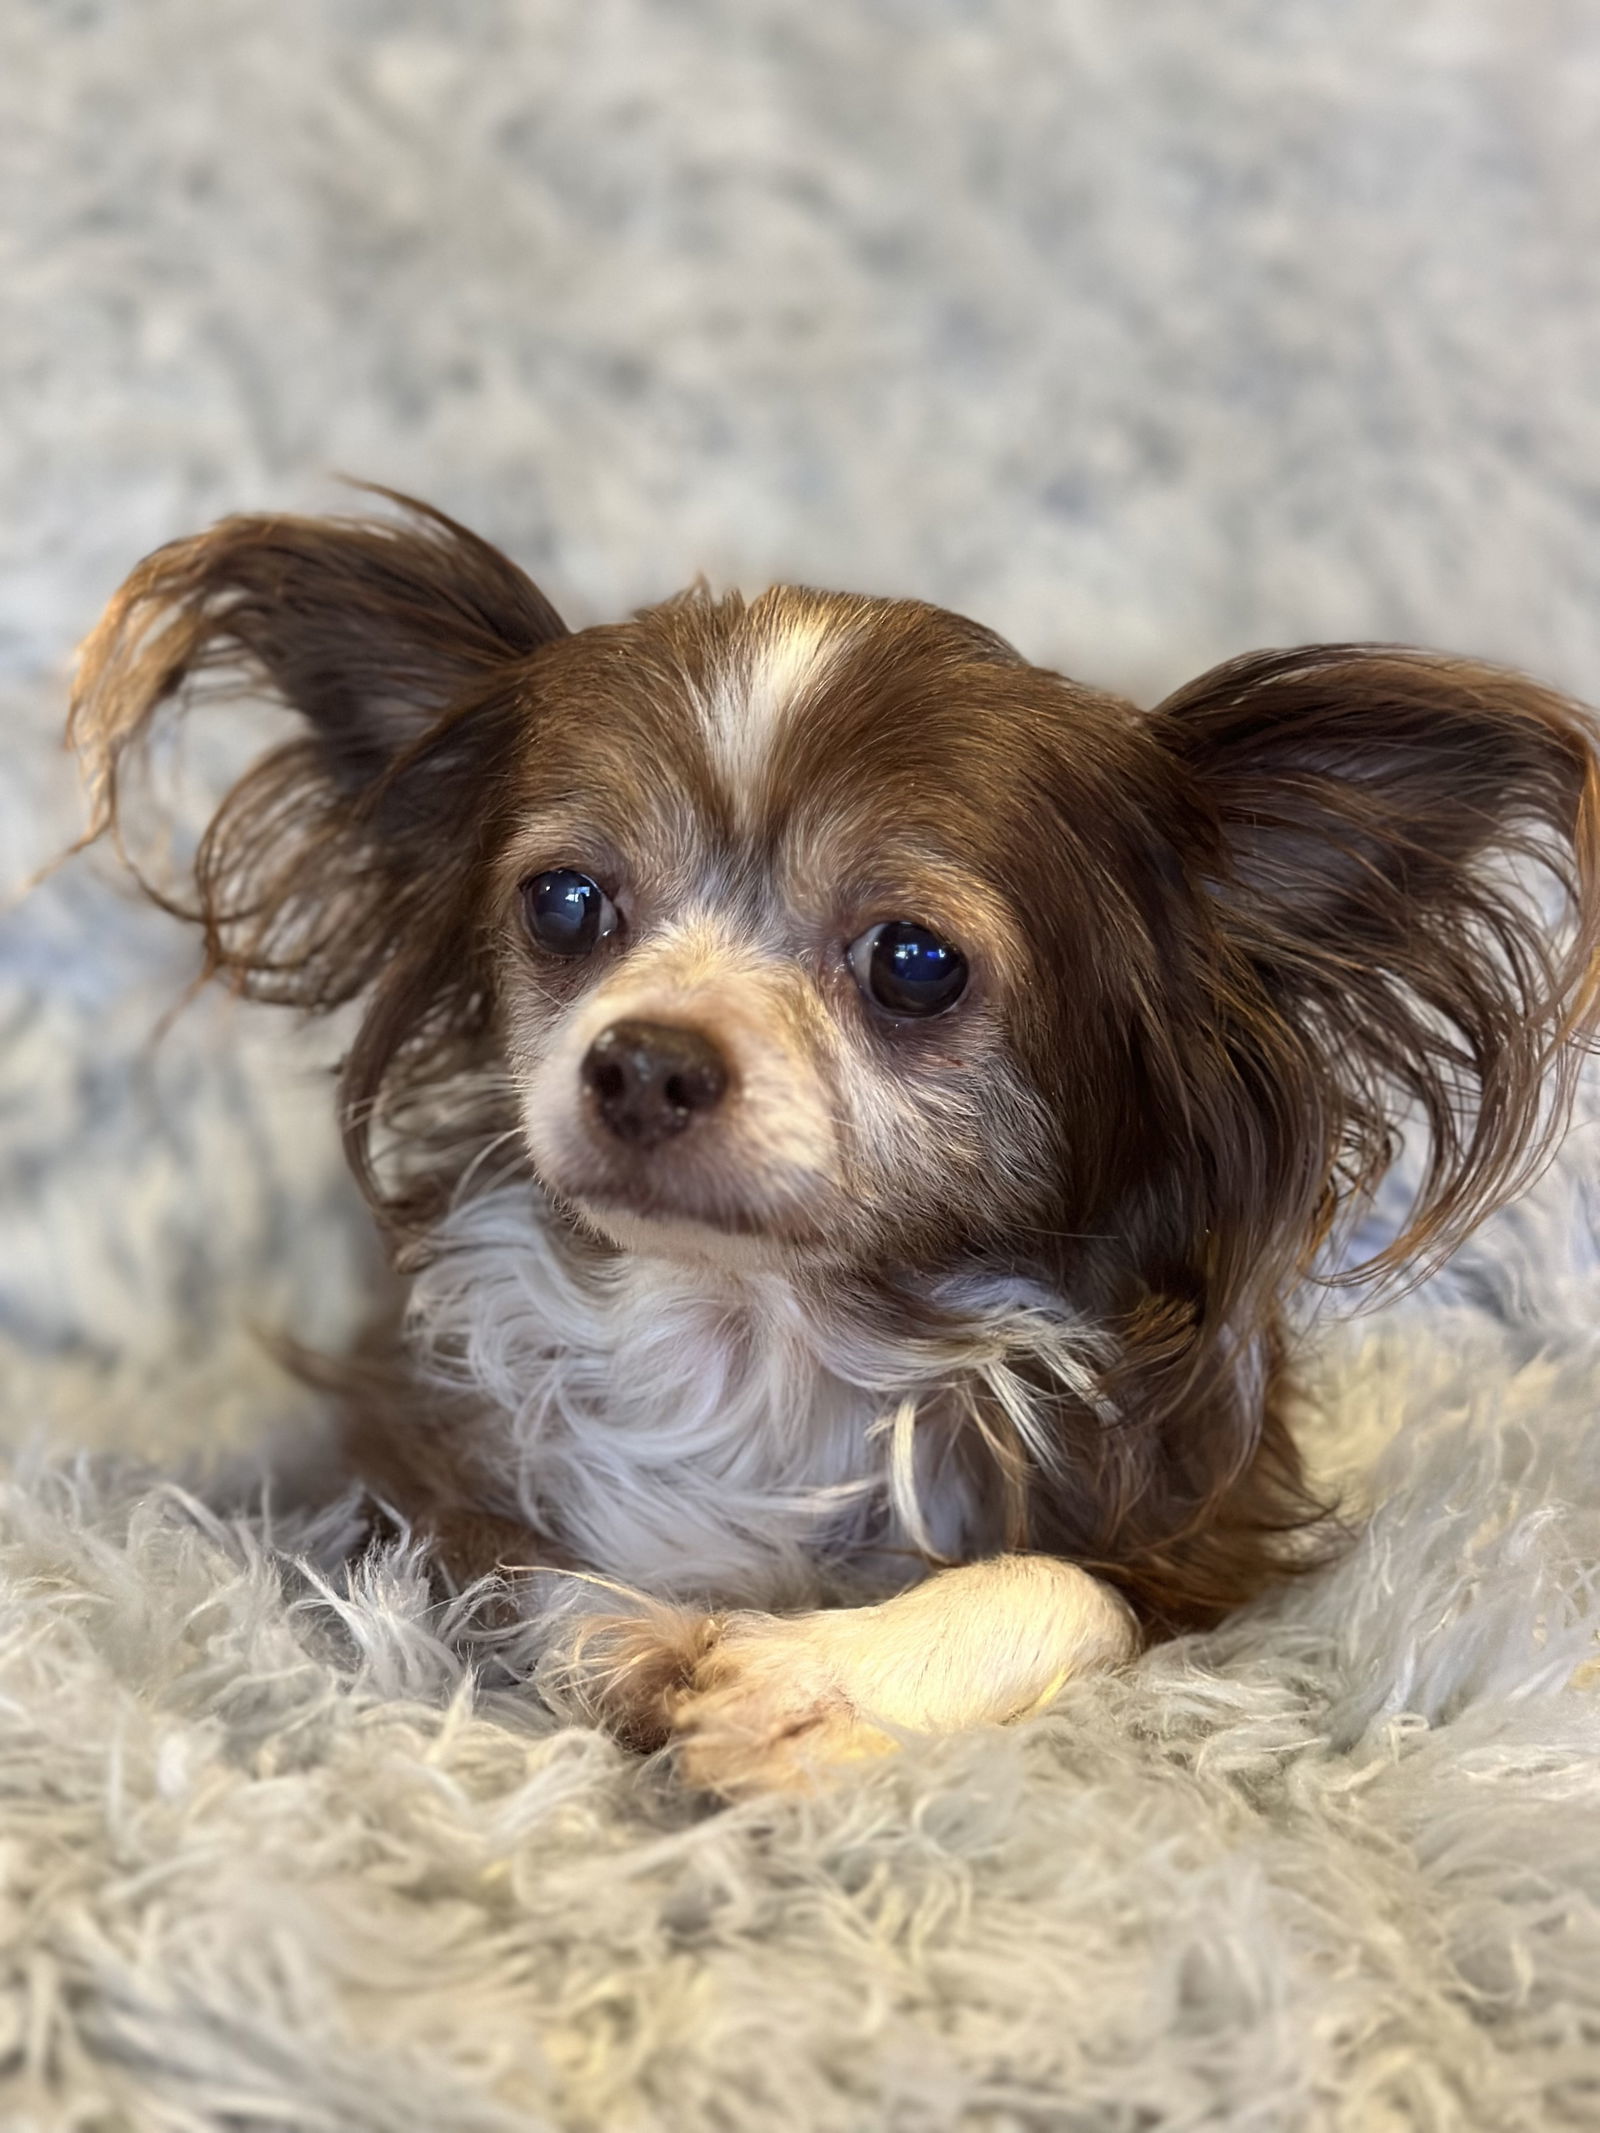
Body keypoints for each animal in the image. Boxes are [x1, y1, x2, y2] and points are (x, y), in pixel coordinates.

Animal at [68, 490, 1600, 1791]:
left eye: (915, 963)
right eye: (564, 904)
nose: (645, 1060)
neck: (763, 1334)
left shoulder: (1209, 1555)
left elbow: (1062, 1586)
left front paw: (812, 1680)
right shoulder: (399, 1469)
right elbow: (504, 1567)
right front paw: (626, 1632)